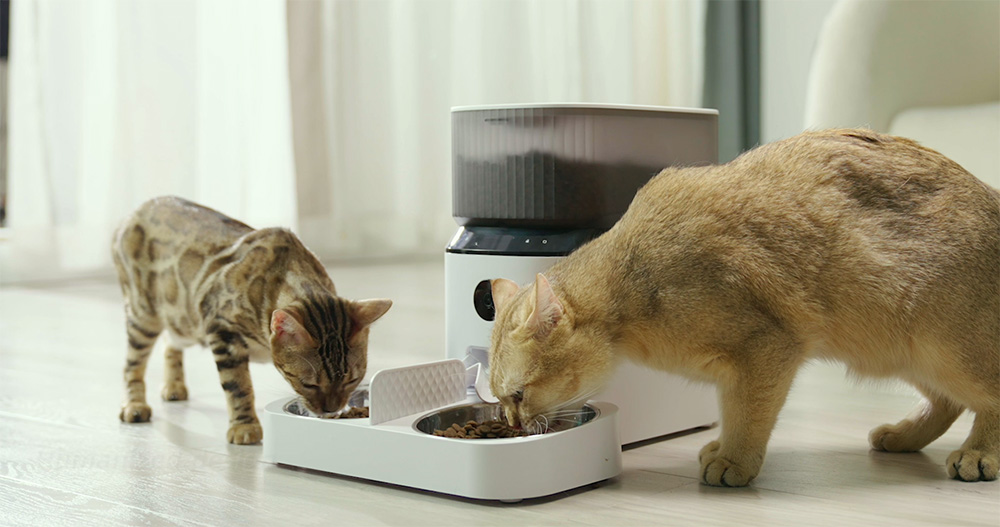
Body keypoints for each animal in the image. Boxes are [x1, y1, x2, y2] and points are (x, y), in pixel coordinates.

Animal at [488, 128, 996, 486]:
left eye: (519, 394)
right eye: (497, 398)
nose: (512, 424)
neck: (634, 280)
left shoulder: (767, 347)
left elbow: (747, 414)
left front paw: (734, 459)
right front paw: (722, 450)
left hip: (941, 344)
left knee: (987, 398)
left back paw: (978, 455)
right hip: (902, 350)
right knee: (949, 401)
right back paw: (903, 436)